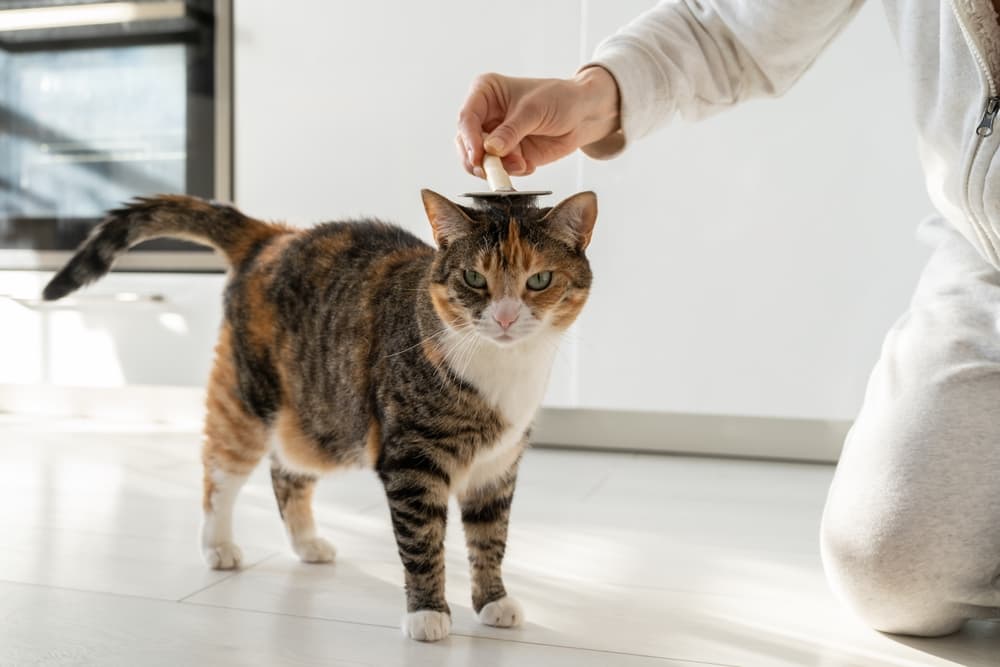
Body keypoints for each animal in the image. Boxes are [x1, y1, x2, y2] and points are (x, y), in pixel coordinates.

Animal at [43, 189, 596, 640]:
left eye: (539, 279)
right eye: (474, 278)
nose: (504, 317)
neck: (503, 367)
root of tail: (274, 235)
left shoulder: (498, 467)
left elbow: (490, 537)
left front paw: (492, 601)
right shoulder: (411, 461)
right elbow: (422, 542)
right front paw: (427, 614)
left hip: (320, 418)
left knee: (286, 472)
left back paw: (307, 542)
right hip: (249, 400)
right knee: (219, 471)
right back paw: (218, 545)